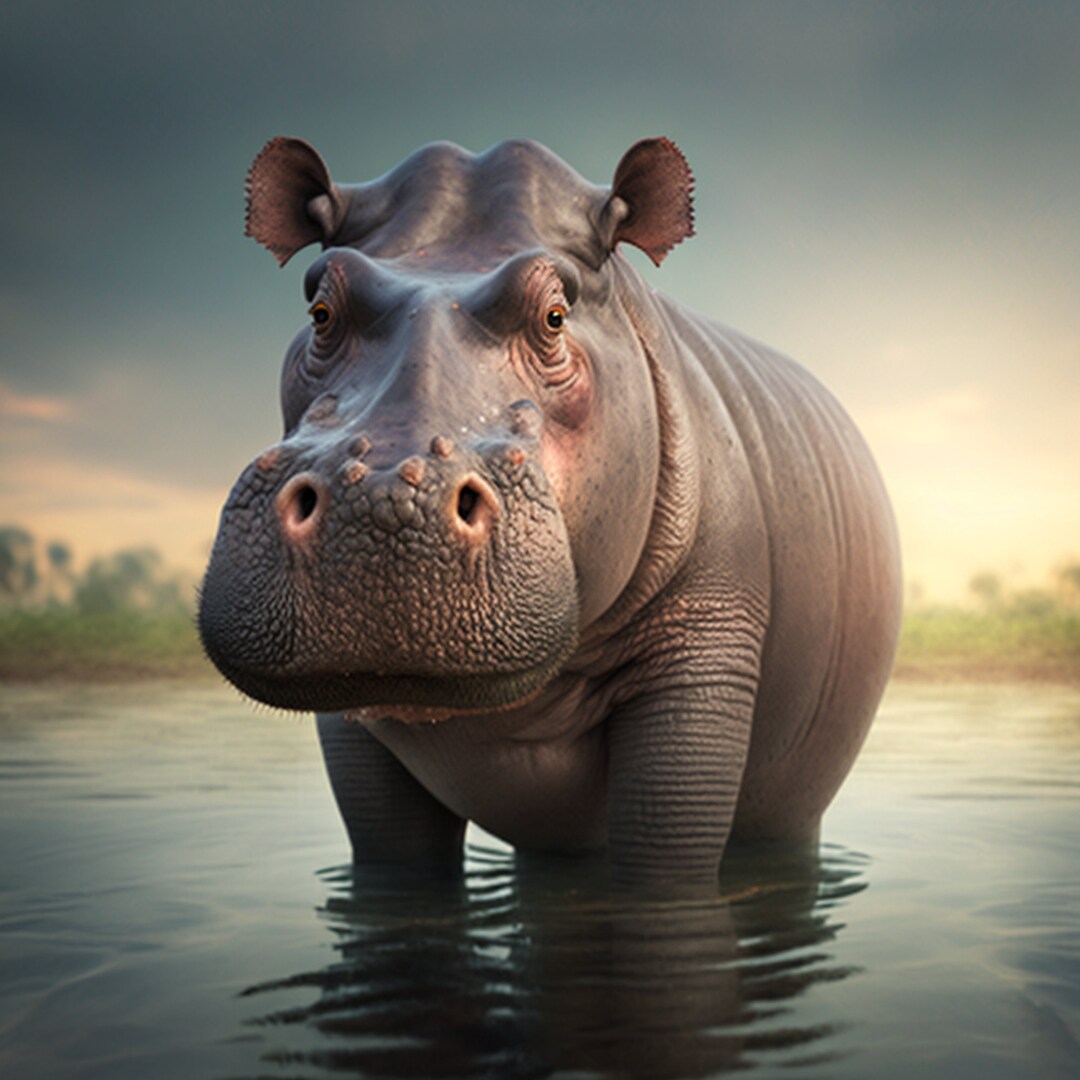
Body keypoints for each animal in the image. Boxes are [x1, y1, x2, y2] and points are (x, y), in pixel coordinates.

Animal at [199, 135, 902, 886]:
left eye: (556, 314)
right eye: (320, 309)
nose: (380, 499)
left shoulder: (704, 650)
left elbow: (664, 853)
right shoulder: (349, 723)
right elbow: (394, 858)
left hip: (794, 803)